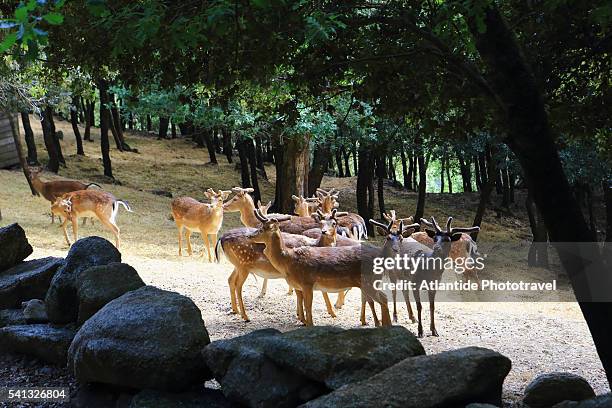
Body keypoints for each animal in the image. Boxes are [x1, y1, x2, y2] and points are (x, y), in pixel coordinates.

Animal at [252, 209, 392, 326]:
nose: (251, 235)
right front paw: (302, 321)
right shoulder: (298, 285)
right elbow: (302, 303)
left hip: (369, 282)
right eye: (260, 227)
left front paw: (310, 324)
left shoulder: (307, 283)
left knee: (382, 298)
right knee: (380, 299)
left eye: (264, 228)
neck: (288, 261)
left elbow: (308, 306)